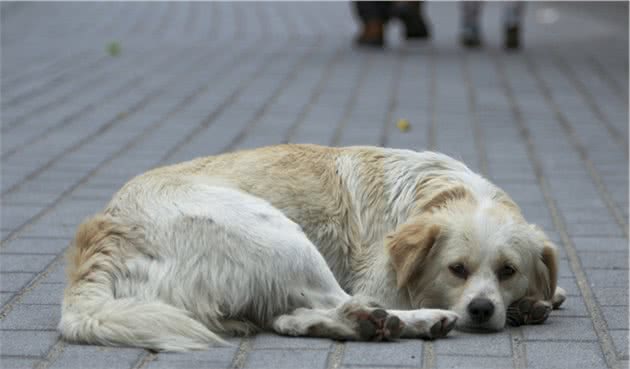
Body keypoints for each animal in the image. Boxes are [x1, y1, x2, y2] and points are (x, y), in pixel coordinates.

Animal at [61, 144, 572, 350]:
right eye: (456, 269)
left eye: (508, 271)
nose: (484, 310)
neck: (435, 190)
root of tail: (103, 231)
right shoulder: (382, 280)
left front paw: (537, 299)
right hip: (277, 233)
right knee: (336, 302)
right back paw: (412, 321)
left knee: (291, 318)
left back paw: (367, 325)